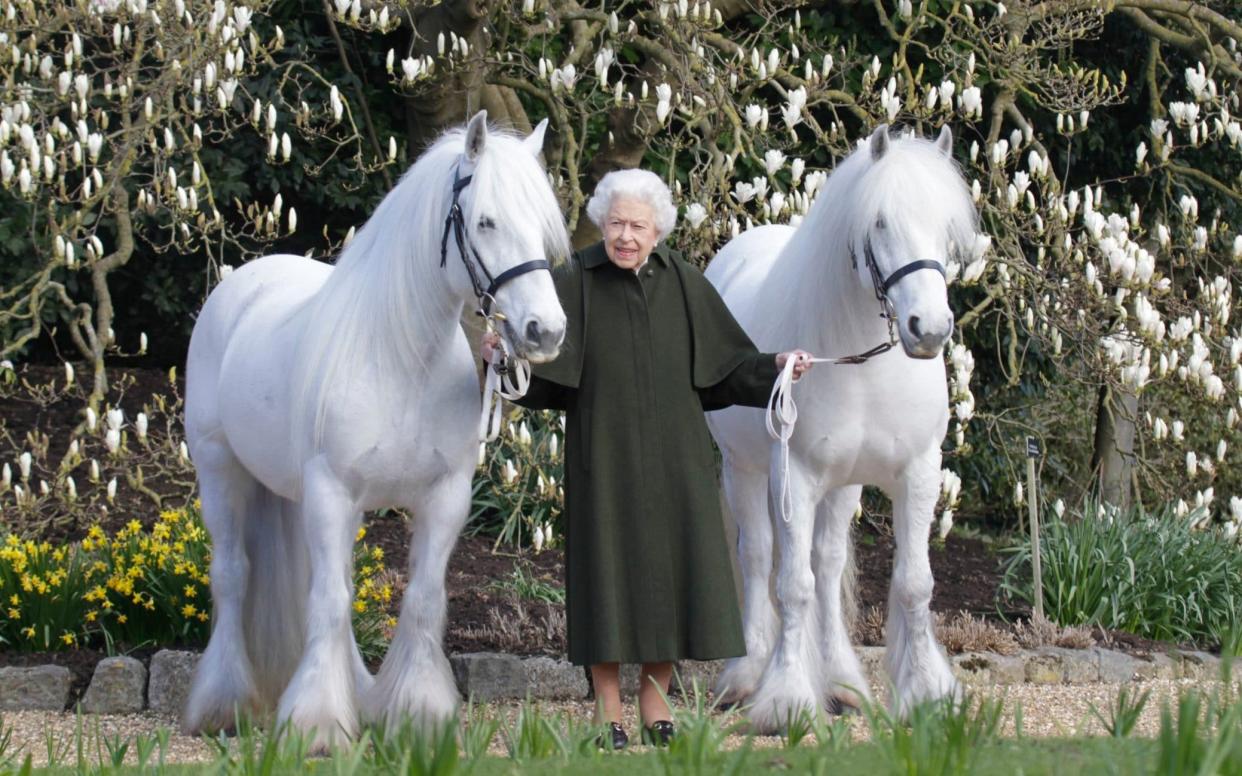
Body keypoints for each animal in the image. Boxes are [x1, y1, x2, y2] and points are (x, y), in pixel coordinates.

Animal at [180, 111, 568, 749]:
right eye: (486, 221)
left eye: (541, 226)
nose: (546, 330)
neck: (400, 359)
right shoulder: (332, 492)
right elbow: (331, 602)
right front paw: (316, 724)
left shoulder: (444, 498)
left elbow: (421, 599)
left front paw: (418, 714)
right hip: (221, 472)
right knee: (233, 576)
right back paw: (224, 704)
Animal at [705, 124, 973, 730]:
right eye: (880, 222)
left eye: (946, 225)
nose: (929, 328)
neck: (862, 363)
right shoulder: (795, 477)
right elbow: (791, 586)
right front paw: (785, 700)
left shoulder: (918, 473)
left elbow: (913, 584)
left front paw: (926, 692)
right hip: (745, 471)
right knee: (759, 557)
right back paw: (746, 674)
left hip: (843, 485)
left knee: (826, 567)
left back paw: (843, 684)